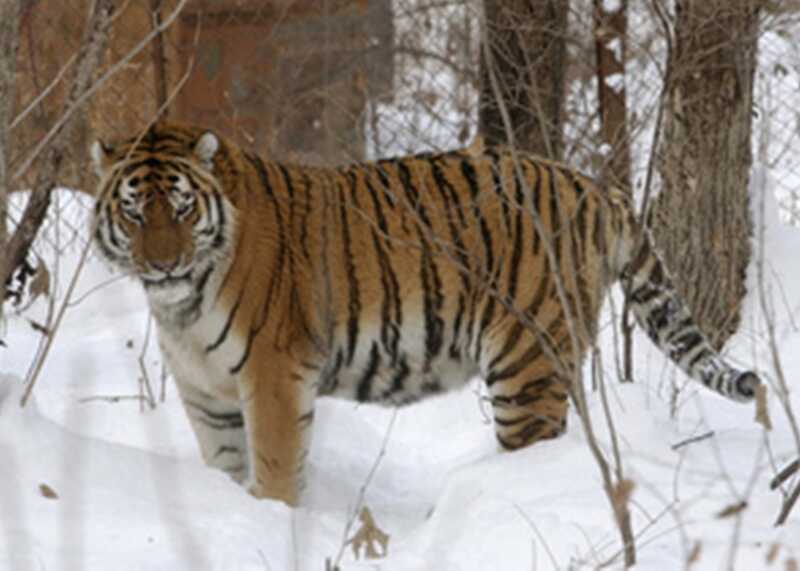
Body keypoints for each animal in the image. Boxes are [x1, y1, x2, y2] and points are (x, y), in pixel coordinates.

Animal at [90, 120, 760, 504]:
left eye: (181, 209)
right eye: (134, 212)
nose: (163, 264)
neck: (182, 305)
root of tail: (593, 187)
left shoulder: (272, 375)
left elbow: (275, 471)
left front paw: (274, 520)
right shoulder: (206, 392)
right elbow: (226, 466)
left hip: (527, 365)